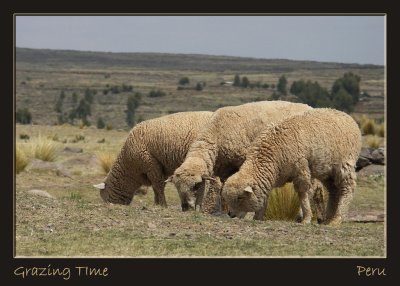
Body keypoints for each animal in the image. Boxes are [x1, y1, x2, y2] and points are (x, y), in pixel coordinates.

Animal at [167, 99, 318, 211]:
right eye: (177, 187)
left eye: (196, 186)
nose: (186, 208)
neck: (216, 132)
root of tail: (309, 107)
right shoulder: (225, 169)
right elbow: (223, 189)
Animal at [220, 108, 360, 225]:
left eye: (240, 197)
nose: (230, 214)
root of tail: (347, 116)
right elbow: (266, 195)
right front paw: (258, 217)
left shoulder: (300, 168)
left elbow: (303, 193)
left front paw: (306, 218)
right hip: (327, 170)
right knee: (334, 190)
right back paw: (328, 219)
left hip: (344, 164)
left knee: (347, 188)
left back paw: (337, 219)